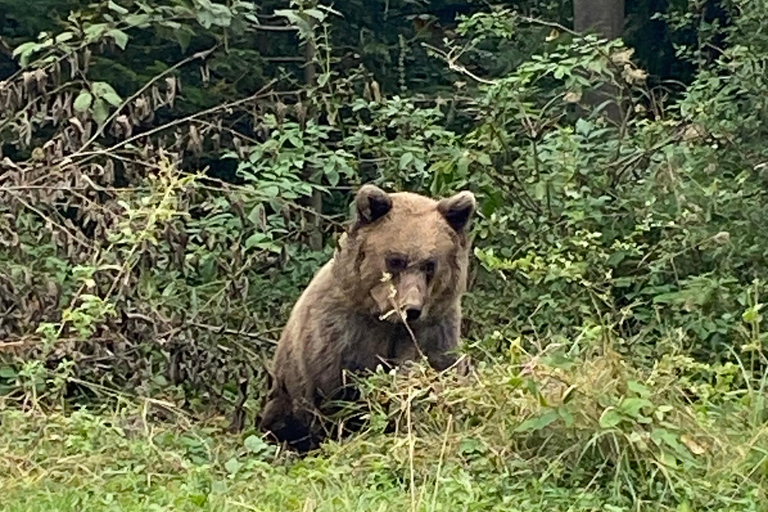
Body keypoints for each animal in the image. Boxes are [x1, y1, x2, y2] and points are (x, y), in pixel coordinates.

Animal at [258, 184, 476, 452]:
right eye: (395, 260)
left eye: (429, 264)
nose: (410, 308)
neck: (388, 322)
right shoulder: (343, 336)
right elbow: (339, 394)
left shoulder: (433, 333)